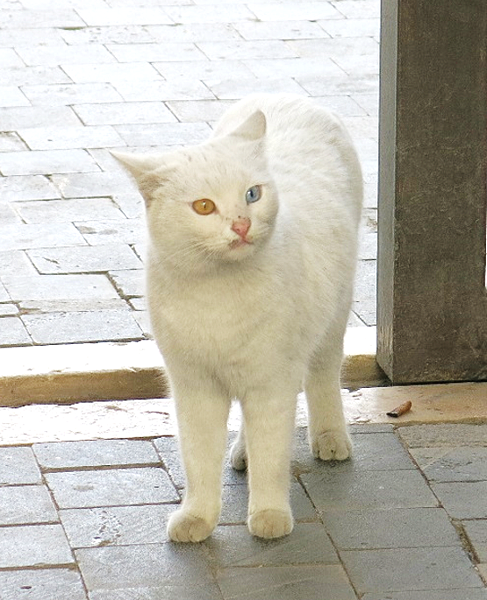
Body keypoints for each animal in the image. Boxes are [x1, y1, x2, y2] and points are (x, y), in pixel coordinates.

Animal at [113, 94, 362, 544]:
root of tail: (283, 94)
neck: (217, 297)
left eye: (252, 194)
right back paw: (242, 452)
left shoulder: (271, 382)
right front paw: (196, 518)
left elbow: (272, 458)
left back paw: (331, 439)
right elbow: (198, 461)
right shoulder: (195, 388)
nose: (242, 223)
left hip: (332, 319)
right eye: (204, 207)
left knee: (323, 379)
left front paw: (269, 517)